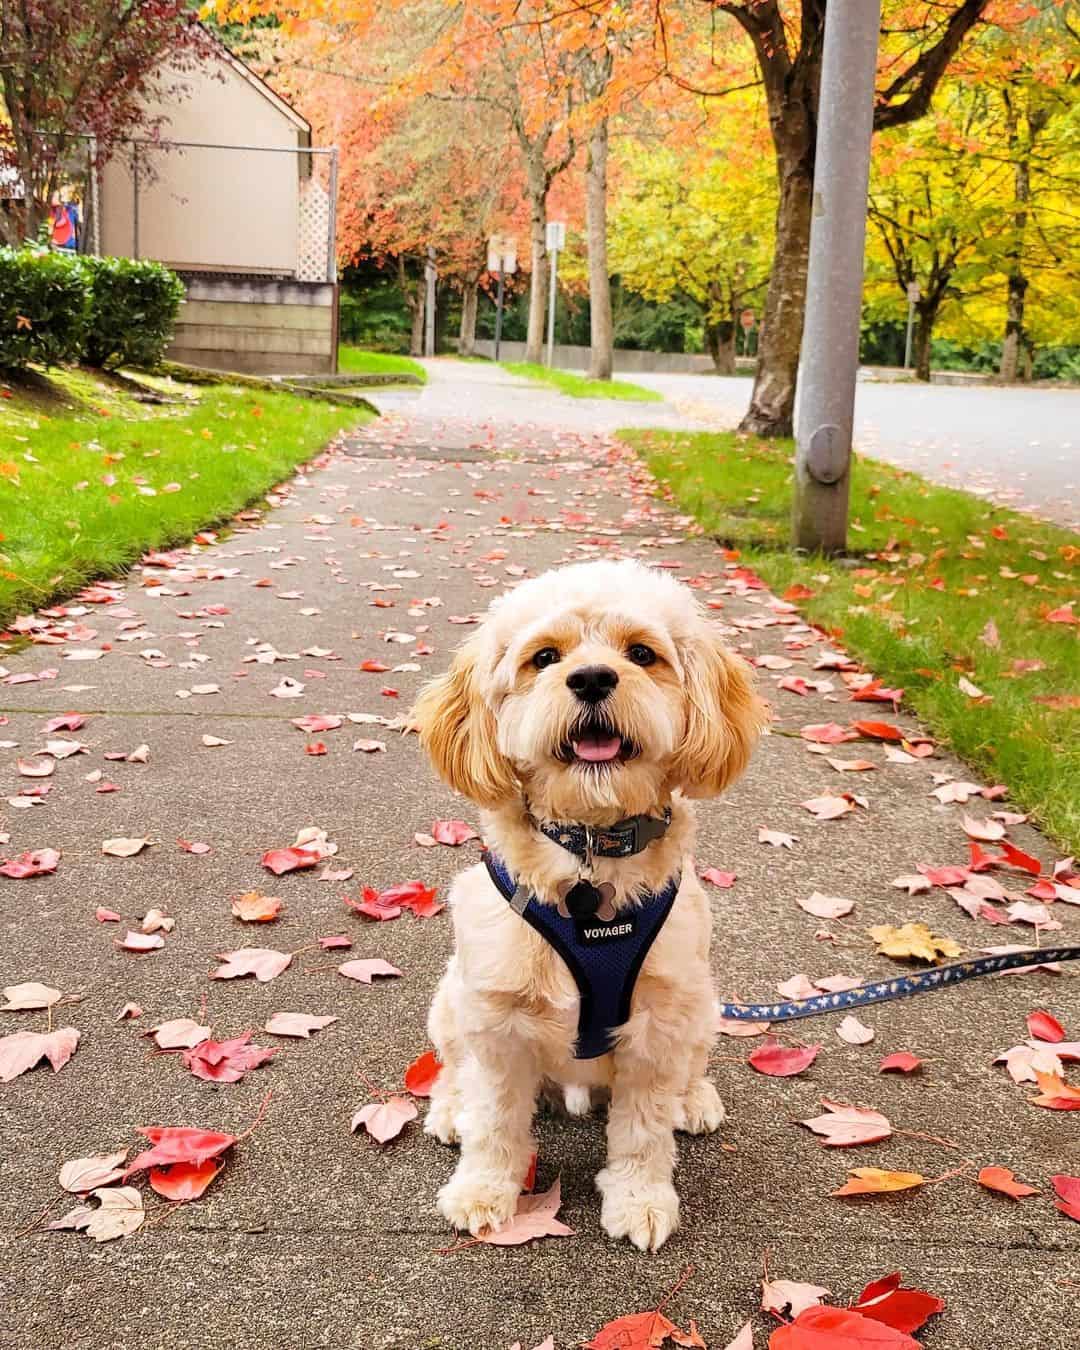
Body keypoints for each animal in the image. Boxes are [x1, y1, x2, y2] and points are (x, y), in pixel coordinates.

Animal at [410, 553, 761, 1247]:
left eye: (642, 653)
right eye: (545, 657)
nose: (594, 677)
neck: (590, 854)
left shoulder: (658, 1024)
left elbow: (644, 1131)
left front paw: (640, 1199)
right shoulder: (495, 1019)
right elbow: (494, 1120)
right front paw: (484, 1189)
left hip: (703, 1006)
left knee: (690, 1070)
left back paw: (694, 1098)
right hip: (450, 1002)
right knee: (454, 1071)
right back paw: (449, 1109)